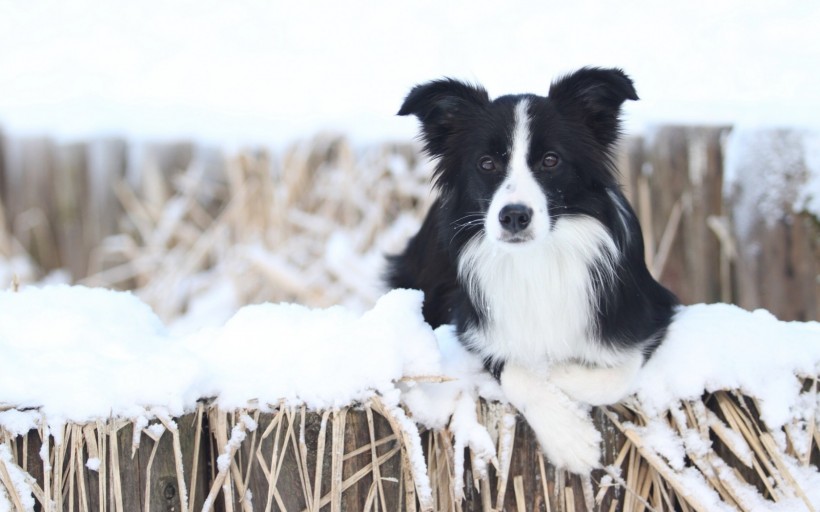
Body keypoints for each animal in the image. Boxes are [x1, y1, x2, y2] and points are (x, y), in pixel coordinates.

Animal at [390, 67, 680, 472]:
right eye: (487, 164)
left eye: (551, 160)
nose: (514, 216)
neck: (536, 259)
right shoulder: (470, 324)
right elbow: (516, 370)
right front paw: (570, 438)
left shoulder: (651, 312)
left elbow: (618, 372)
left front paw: (560, 372)